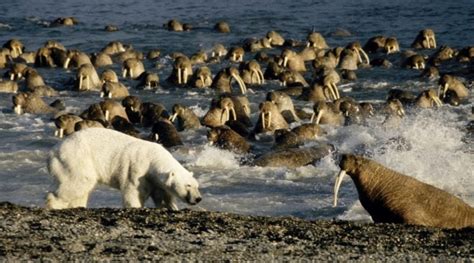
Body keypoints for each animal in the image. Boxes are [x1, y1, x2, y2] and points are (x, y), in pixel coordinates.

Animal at [47, 128, 202, 210]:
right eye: (188, 185)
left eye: (196, 186)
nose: (198, 198)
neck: (153, 158)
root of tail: (53, 151)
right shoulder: (138, 169)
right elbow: (133, 192)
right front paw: (136, 206)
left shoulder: (155, 180)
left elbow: (162, 195)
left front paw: (171, 207)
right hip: (77, 158)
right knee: (80, 181)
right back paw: (54, 204)